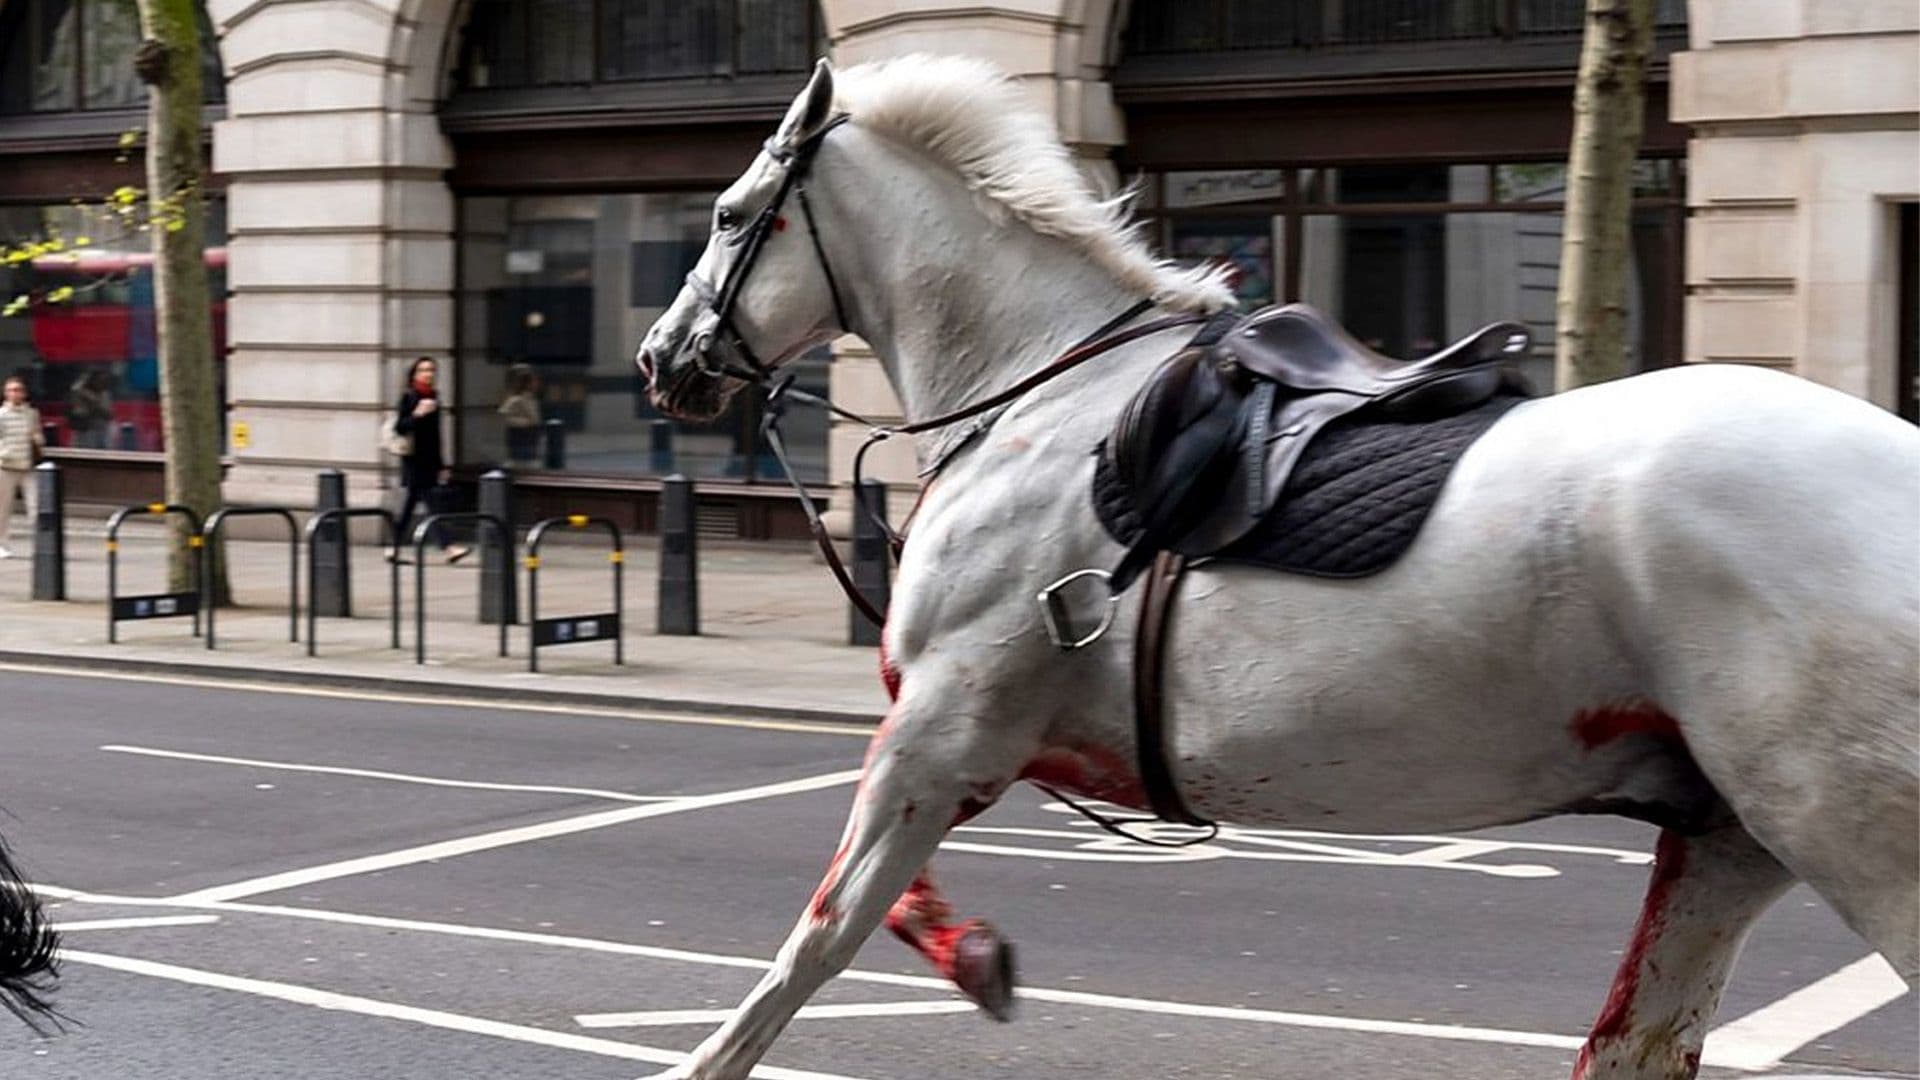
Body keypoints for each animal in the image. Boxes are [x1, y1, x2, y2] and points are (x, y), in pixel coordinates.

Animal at [634, 55, 1919, 1080]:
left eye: (732, 213)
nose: (660, 357)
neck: (1041, 392)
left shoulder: (944, 732)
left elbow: (824, 932)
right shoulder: (956, 744)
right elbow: (882, 908)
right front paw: (978, 958)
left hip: (1841, 820)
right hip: (1728, 834)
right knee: (1636, 1042)